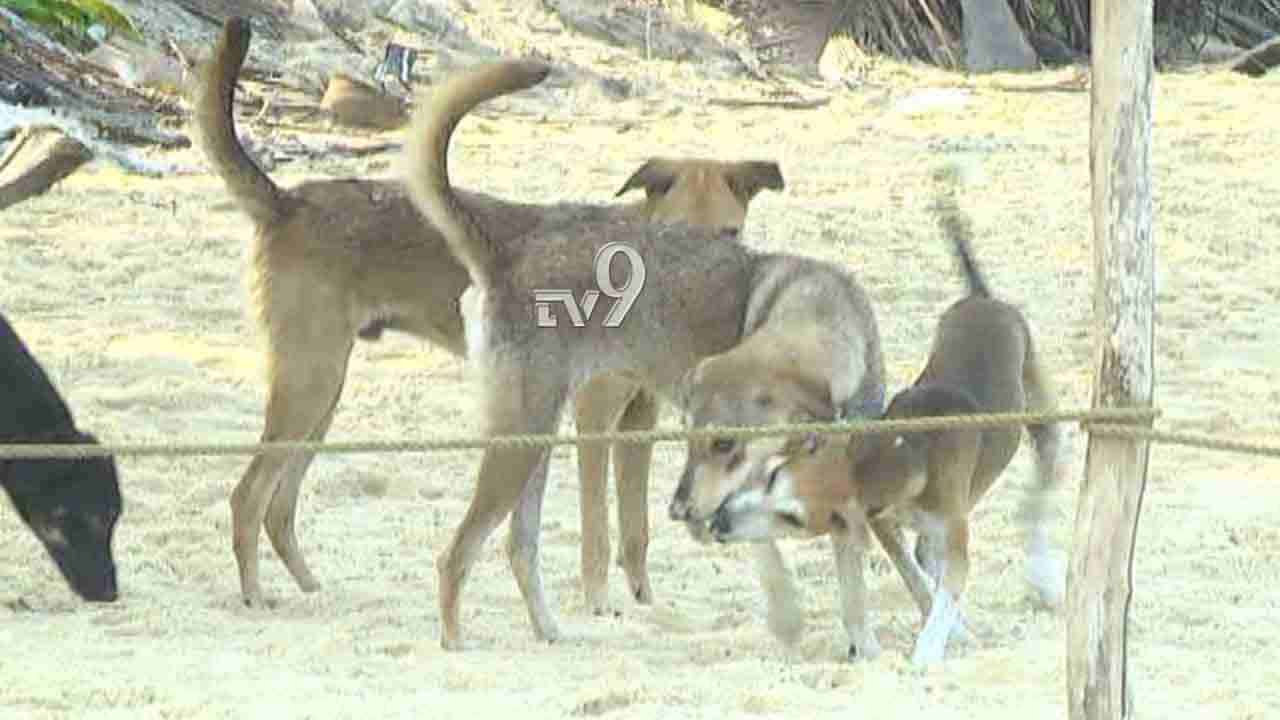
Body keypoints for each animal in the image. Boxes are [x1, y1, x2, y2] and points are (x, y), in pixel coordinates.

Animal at [193, 18, 783, 604]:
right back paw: (255, 597)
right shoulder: (593, 418)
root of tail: (287, 203)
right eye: (675, 235)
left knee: (278, 506)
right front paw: (598, 608)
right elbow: (597, 533)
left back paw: (313, 591)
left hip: (321, 396)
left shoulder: (638, 423)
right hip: (310, 384)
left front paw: (640, 605)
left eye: (731, 233)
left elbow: (635, 534)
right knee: (248, 497)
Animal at [404, 57, 885, 650]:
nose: (681, 511)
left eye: (724, 444)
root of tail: (509, 254)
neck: (822, 314)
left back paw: (551, 632)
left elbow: (854, 575)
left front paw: (865, 643)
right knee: (456, 555)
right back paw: (455, 644)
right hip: (524, 437)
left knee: (520, 546)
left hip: (536, 441)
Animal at [711, 198, 1070, 666]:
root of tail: (982, 297)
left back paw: (1043, 575)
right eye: (772, 475)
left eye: (793, 518)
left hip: (1044, 423)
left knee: (1039, 493)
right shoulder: (883, 523)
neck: (900, 450)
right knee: (927, 554)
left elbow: (945, 589)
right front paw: (948, 625)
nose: (720, 520)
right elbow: (915, 573)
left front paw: (931, 647)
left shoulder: (954, 535)